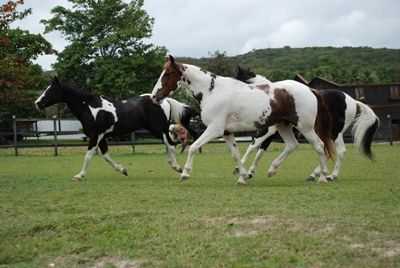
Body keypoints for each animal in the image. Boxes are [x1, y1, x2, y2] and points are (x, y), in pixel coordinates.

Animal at [34, 78, 197, 181]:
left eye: (50, 90)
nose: (37, 103)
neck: (90, 107)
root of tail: (165, 100)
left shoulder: (96, 135)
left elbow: (88, 155)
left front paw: (79, 176)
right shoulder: (102, 137)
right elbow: (105, 156)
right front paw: (123, 170)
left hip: (158, 128)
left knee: (171, 144)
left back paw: (177, 167)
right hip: (156, 130)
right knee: (170, 143)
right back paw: (174, 165)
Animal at [152, 55, 332, 183]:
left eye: (168, 73)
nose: (154, 96)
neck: (212, 91)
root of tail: (310, 90)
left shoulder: (214, 129)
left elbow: (194, 147)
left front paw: (185, 173)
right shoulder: (227, 132)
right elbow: (236, 155)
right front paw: (243, 176)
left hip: (305, 127)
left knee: (319, 145)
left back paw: (323, 176)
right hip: (284, 126)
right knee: (292, 145)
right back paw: (272, 170)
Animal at [236, 66, 380, 181]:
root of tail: (352, 101)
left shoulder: (266, 132)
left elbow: (253, 147)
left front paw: (241, 170)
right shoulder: (270, 134)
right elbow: (260, 151)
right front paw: (250, 172)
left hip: (334, 133)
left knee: (337, 151)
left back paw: (330, 175)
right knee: (327, 150)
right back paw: (315, 174)